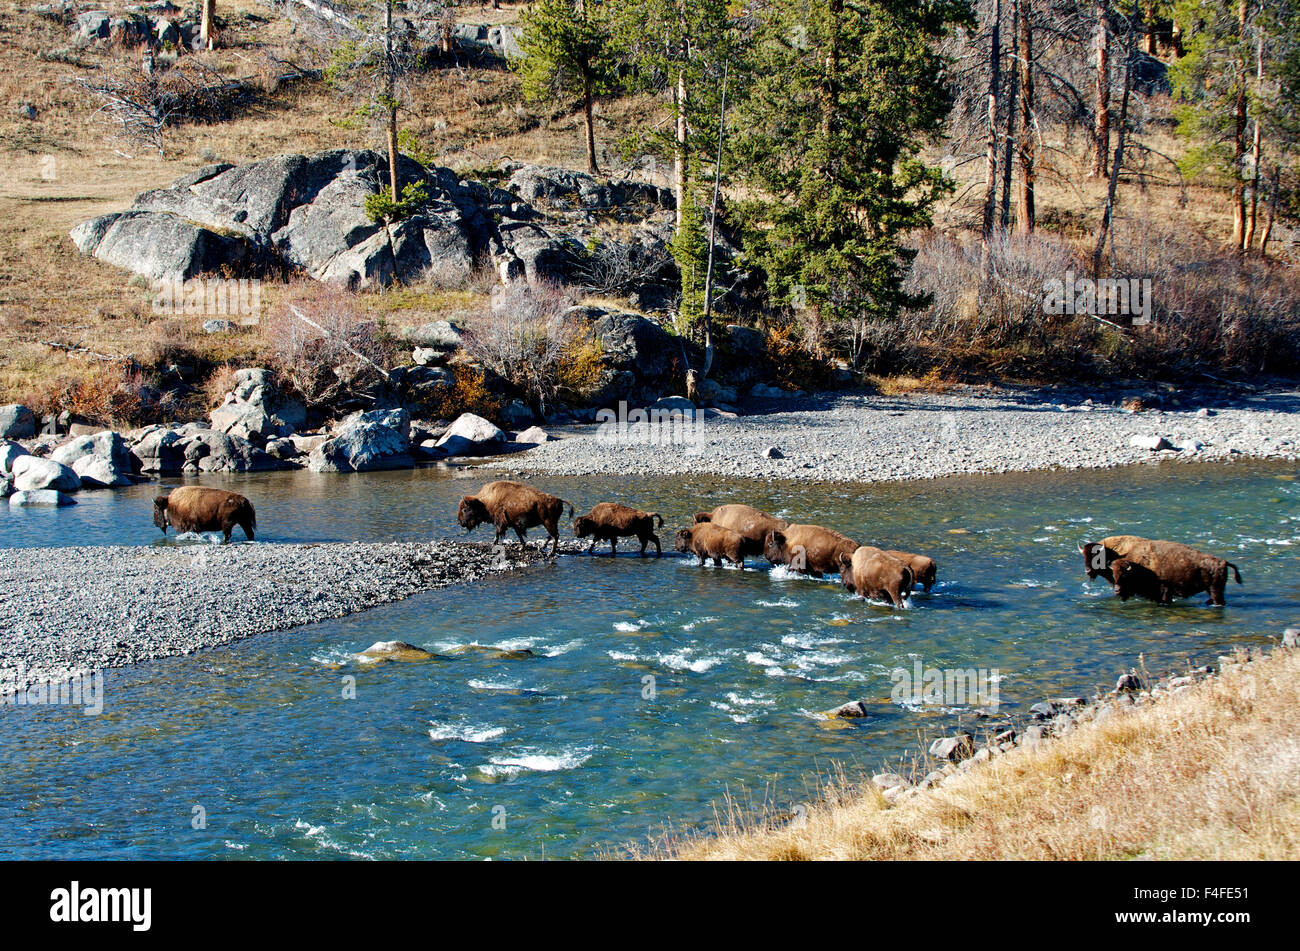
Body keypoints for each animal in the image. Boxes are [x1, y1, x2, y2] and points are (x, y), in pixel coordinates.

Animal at [1081, 530, 1242, 605]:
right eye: (1084, 556)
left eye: (1096, 556)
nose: (1088, 570)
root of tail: (1223, 562)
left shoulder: (1164, 590)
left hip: (1215, 590)